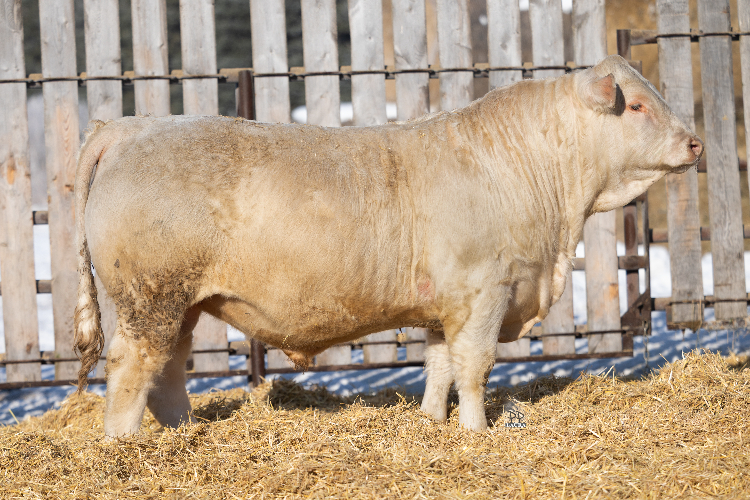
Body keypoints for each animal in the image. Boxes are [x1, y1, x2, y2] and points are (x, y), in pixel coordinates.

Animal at [74, 55, 702, 437]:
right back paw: (127, 443)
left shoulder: (443, 304)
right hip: (151, 297)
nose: (696, 143)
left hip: (181, 305)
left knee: (168, 370)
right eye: (637, 105)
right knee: (131, 366)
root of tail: (133, 126)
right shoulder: (483, 290)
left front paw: (431, 423)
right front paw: (476, 430)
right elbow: (474, 366)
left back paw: (182, 432)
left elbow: (439, 366)